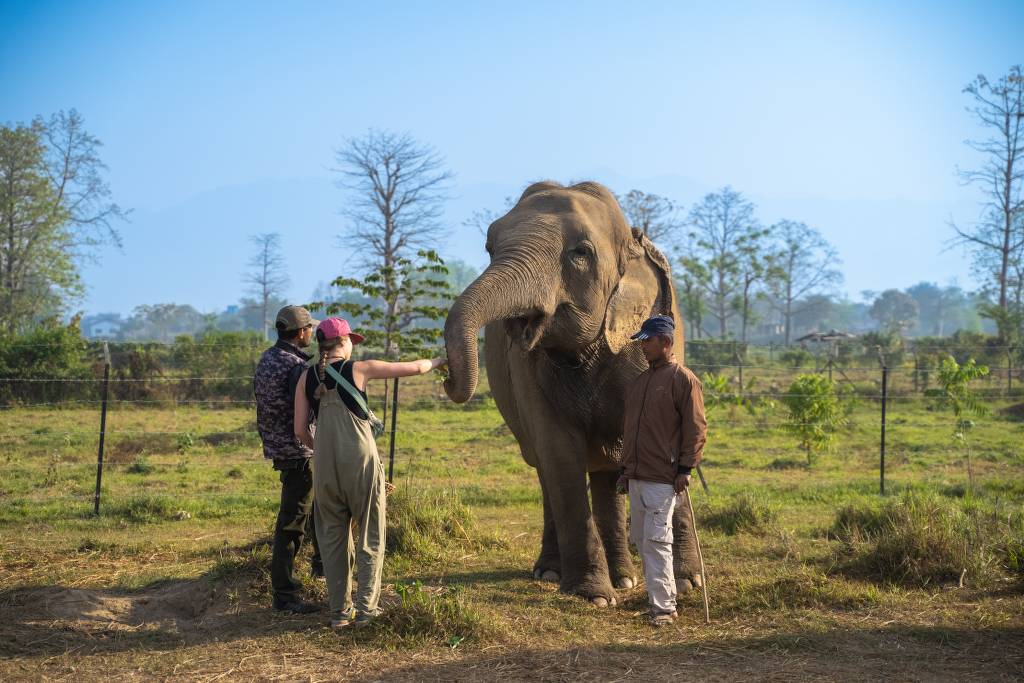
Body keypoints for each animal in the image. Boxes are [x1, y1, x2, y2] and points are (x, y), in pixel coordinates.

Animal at [443, 180, 700, 605]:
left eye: (580, 253)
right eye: (489, 247)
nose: (446, 379)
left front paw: (687, 583)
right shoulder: (526, 370)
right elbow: (559, 453)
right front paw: (593, 596)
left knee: (608, 468)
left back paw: (625, 578)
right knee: (550, 470)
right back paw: (554, 572)